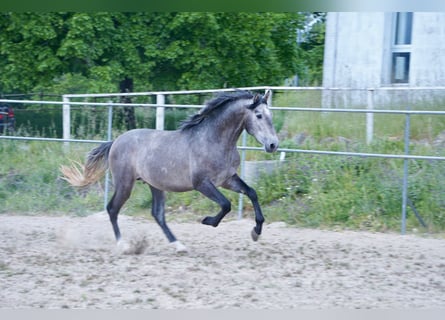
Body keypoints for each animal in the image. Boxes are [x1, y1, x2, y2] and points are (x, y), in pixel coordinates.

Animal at [60, 90, 278, 252]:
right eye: (259, 115)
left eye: (271, 116)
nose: (273, 145)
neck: (212, 140)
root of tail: (116, 141)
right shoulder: (202, 184)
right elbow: (226, 204)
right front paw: (207, 221)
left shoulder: (227, 179)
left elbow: (252, 193)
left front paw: (256, 231)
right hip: (125, 184)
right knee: (112, 209)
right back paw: (123, 245)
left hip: (155, 185)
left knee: (157, 214)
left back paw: (178, 245)